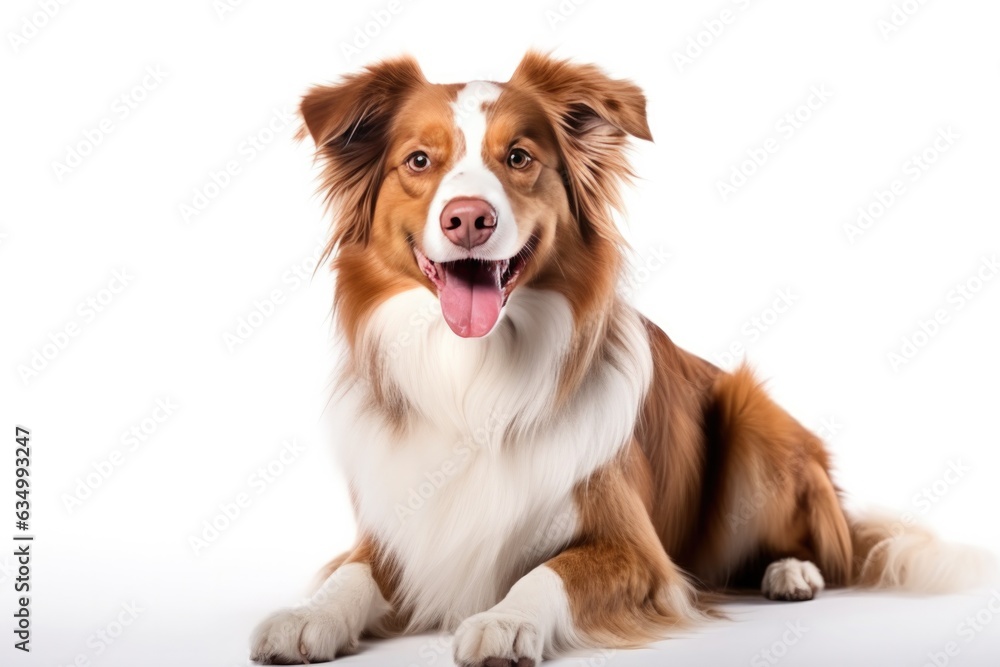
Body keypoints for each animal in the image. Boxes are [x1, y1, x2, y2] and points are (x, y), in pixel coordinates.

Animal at [252, 53, 992, 667]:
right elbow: (350, 574)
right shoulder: (398, 530)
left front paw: (504, 621)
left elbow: (547, 571)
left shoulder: (637, 550)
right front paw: (306, 615)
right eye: (418, 161)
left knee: (825, 551)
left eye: (518, 157)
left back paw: (791, 573)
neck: (475, 374)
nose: (468, 218)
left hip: (754, 420)